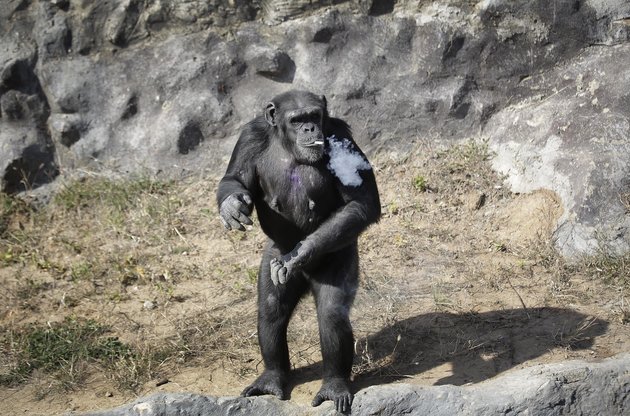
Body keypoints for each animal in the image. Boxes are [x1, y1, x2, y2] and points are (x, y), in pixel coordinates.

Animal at [217, 88, 380, 412]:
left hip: (340, 256)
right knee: (270, 310)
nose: (309, 129)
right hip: (273, 256)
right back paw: (271, 378)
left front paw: (301, 253)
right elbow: (235, 178)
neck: (287, 145)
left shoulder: (340, 135)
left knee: (332, 315)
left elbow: (363, 202)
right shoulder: (249, 137)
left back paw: (334, 386)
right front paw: (232, 205)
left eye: (314, 116)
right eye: (296, 119)